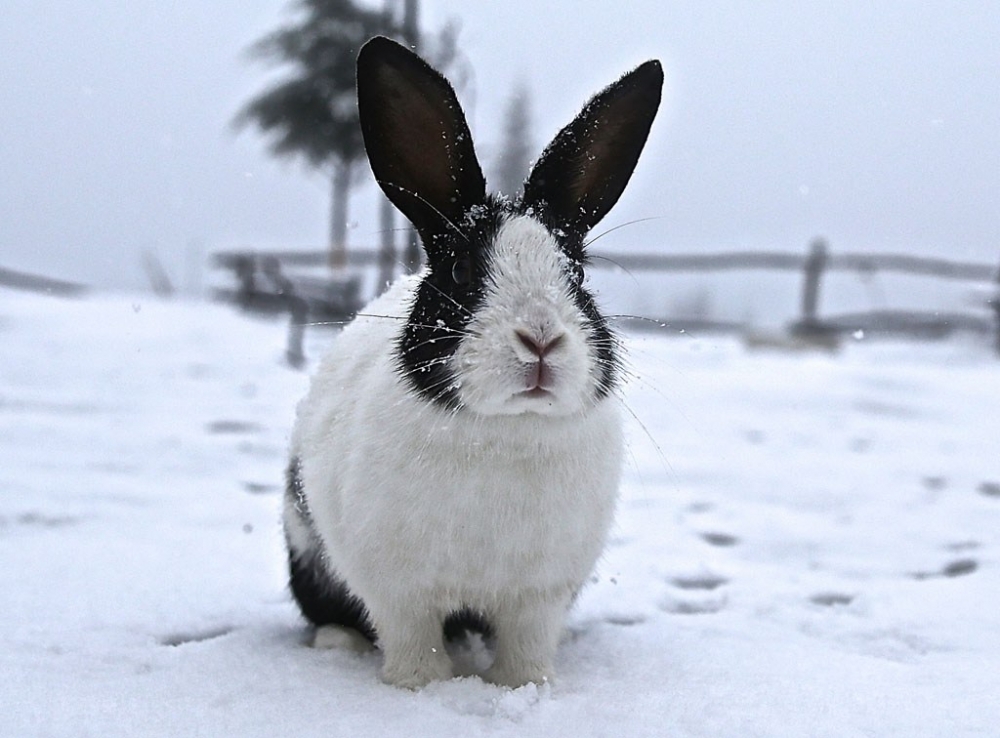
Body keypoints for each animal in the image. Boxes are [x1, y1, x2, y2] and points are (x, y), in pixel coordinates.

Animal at [282, 34, 660, 688]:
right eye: (461, 270)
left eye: (577, 276)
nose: (540, 340)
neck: (506, 430)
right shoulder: (400, 593)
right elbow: (414, 642)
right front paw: (418, 689)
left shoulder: (539, 597)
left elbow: (526, 648)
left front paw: (528, 688)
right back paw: (338, 642)